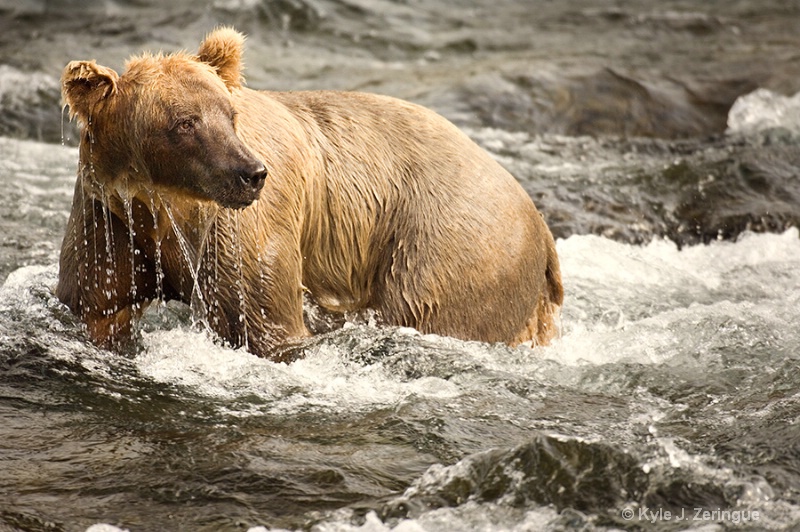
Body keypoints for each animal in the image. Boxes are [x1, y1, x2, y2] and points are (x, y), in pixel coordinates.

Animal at [57, 27, 564, 360]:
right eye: (185, 123)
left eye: (229, 114)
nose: (251, 173)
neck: (164, 208)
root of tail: (540, 226)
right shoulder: (110, 222)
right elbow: (95, 306)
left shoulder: (244, 234)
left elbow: (265, 324)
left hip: (447, 246)